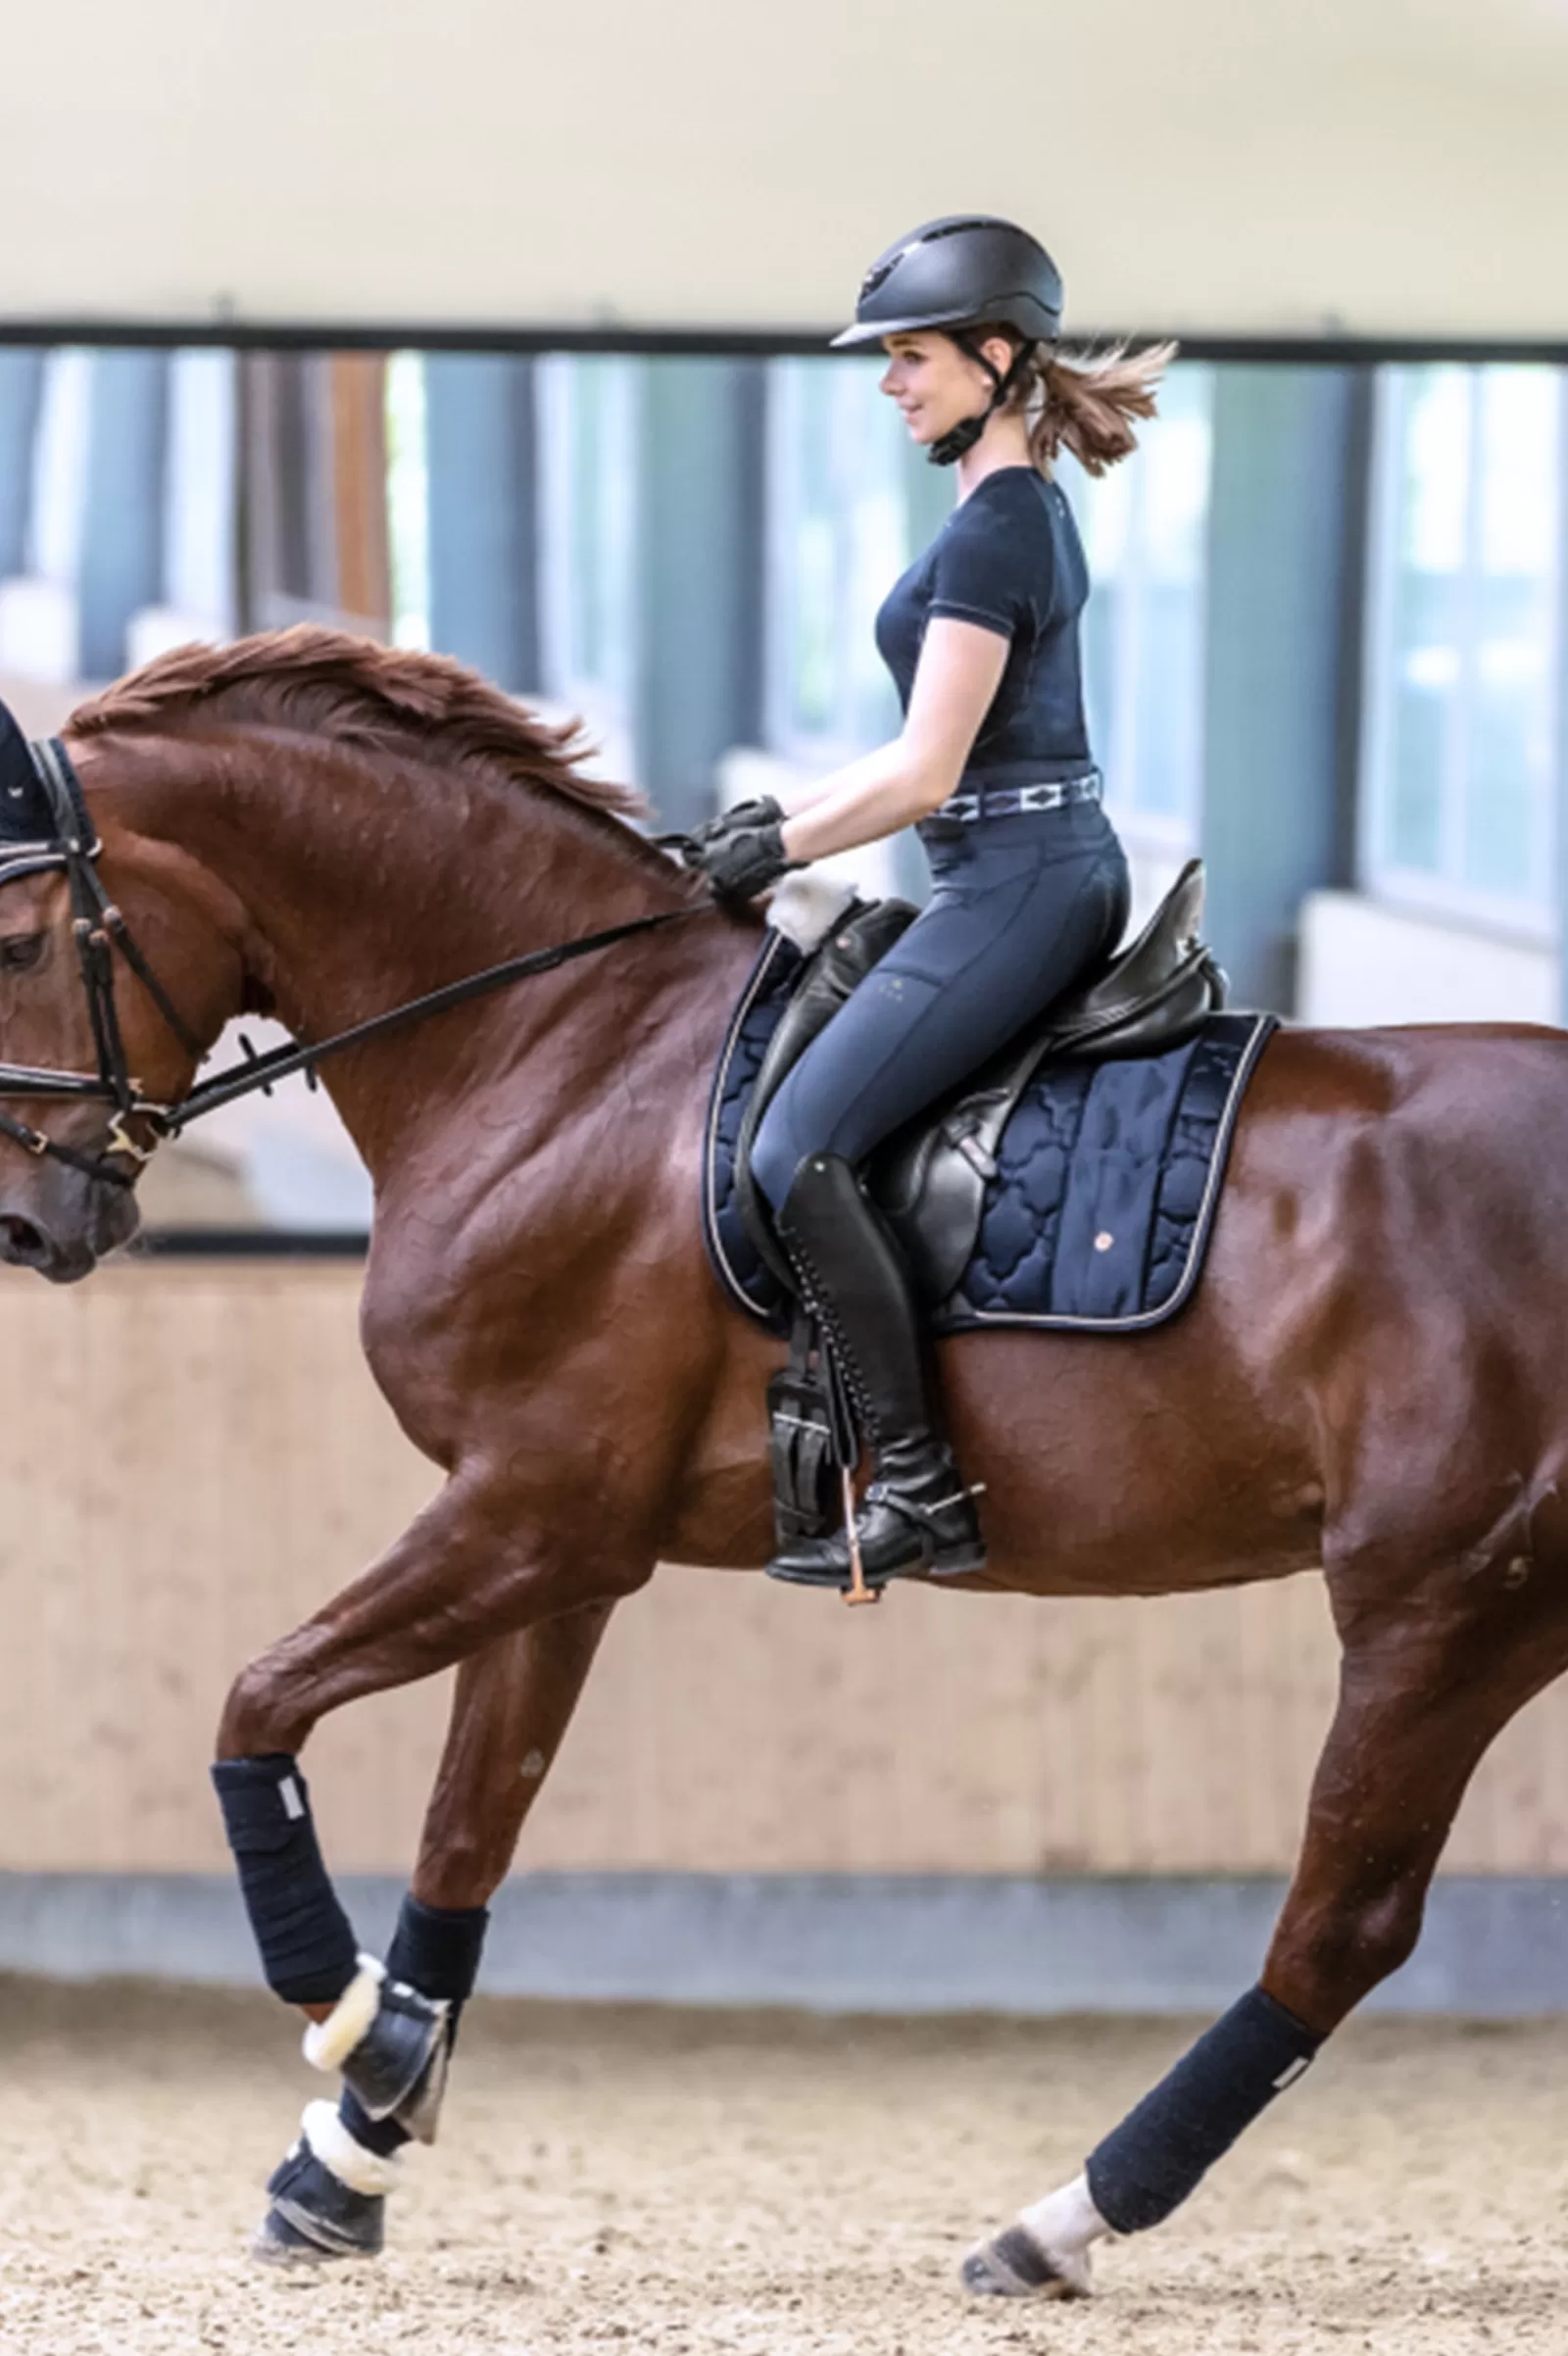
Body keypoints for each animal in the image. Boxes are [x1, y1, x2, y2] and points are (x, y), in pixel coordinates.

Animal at [3, 636, 1563, 2289]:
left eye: (22, 940)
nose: (32, 1223)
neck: (562, 1051)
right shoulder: (556, 1545)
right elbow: (470, 1825)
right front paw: (352, 2152)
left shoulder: (532, 1513)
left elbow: (258, 1706)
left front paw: (355, 2034)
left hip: (1439, 1611)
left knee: (1341, 1926)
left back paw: (1055, 2223)